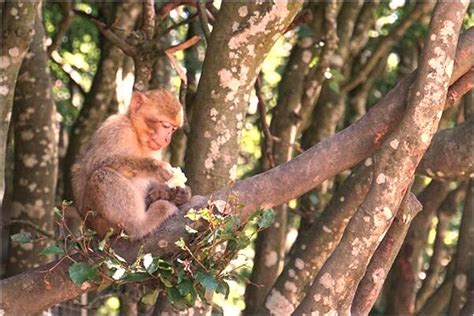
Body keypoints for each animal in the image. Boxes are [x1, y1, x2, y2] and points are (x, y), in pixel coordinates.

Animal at [71, 89, 192, 239]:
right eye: (165, 125)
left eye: (173, 129)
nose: (167, 138)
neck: (136, 134)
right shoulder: (116, 129)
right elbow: (96, 163)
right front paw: (156, 167)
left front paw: (175, 192)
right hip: (100, 222)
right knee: (102, 174)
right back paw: (140, 225)